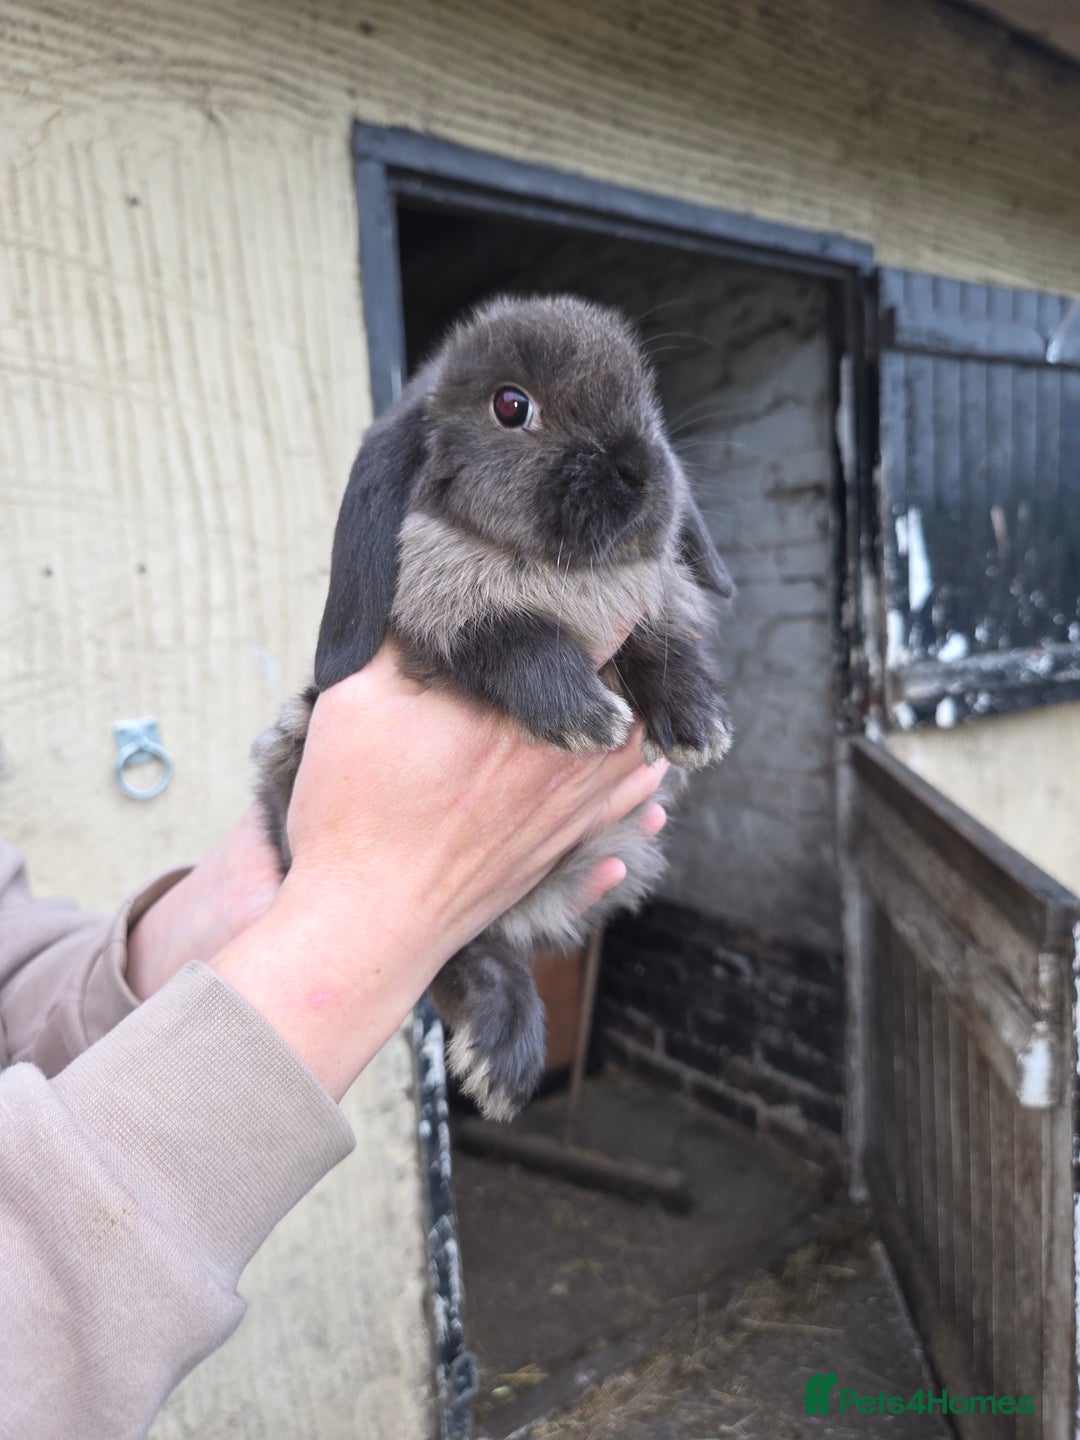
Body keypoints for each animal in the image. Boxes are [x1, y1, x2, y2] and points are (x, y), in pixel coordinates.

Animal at [253, 294, 733, 1121]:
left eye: (649, 400)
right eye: (513, 406)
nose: (642, 472)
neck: (559, 572)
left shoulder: (652, 604)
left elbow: (657, 641)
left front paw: (698, 725)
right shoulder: (446, 617)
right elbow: (513, 639)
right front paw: (586, 716)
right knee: (457, 950)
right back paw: (500, 1054)